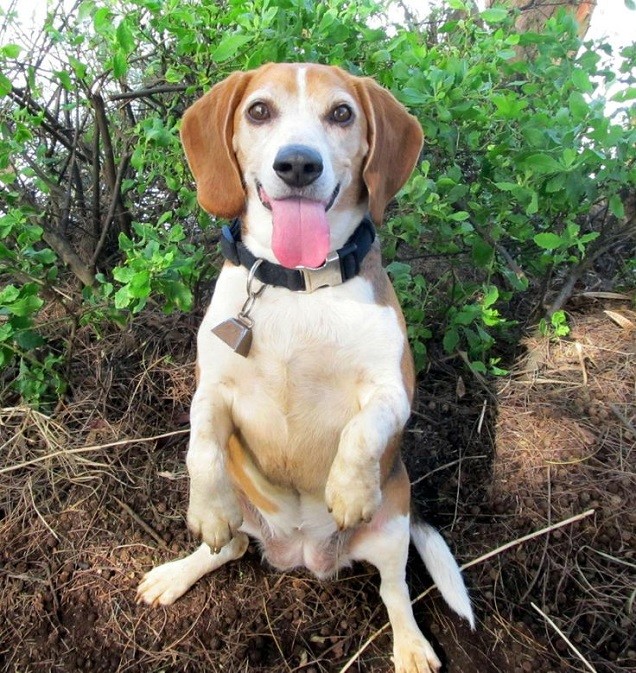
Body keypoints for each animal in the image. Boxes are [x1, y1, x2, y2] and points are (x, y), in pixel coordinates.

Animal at [137, 63, 472, 672]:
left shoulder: (393, 389)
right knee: (232, 545)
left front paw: (348, 487)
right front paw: (206, 505)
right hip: (248, 512)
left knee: (394, 589)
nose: (297, 163)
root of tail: (299, 553)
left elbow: (364, 429)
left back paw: (411, 645)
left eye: (341, 113)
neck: (299, 284)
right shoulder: (212, 390)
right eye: (259, 110)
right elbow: (201, 445)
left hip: (393, 525)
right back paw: (178, 572)